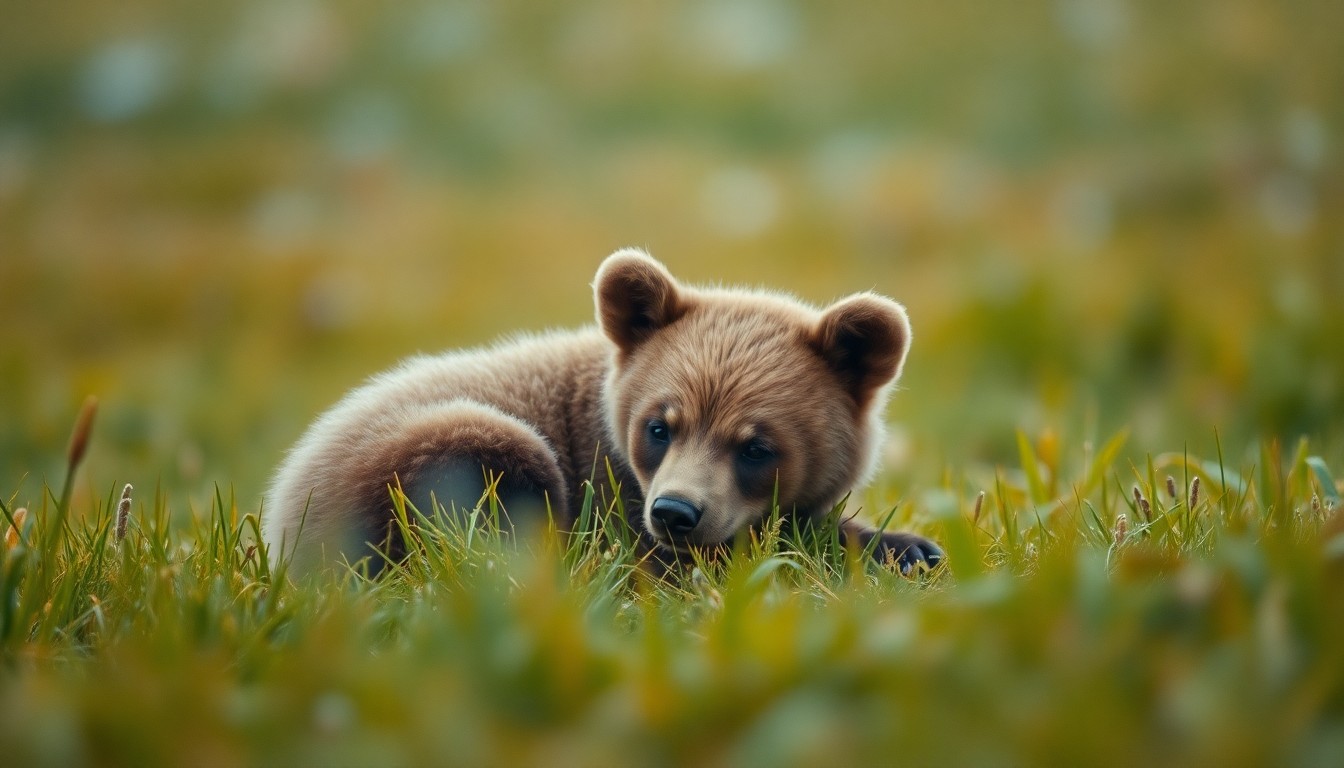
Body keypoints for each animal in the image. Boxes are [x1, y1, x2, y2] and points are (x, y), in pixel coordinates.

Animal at [263, 248, 943, 576]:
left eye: (757, 445)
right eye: (659, 426)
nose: (676, 513)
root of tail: (284, 509)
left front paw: (909, 547)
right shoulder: (613, 496)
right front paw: (894, 548)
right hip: (429, 454)